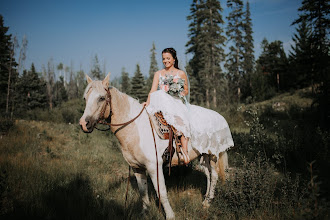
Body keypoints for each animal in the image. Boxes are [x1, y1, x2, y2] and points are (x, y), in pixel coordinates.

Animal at [80, 74, 229, 220]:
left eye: (101, 98)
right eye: (85, 98)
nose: (83, 124)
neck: (137, 128)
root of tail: (220, 117)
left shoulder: (154, 167)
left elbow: (161, 192)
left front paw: (170, 215)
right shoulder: (137, 168)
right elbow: (143, 192)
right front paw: (145, 213)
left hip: (213, 154)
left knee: (214, 175)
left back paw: (208, 202)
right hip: (203, 156)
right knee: (208, 174)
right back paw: (205, 200)